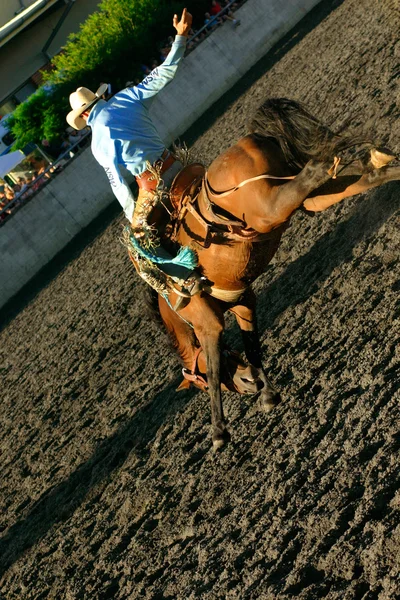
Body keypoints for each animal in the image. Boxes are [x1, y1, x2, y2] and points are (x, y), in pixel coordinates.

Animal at [141, 97, 400, 446]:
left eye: (199, 380)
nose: (246, 383)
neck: (172, 301)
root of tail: (251, 139)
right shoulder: (245, 303)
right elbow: (253, 346)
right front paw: (268, 394)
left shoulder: (207, 325)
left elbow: (214, 366)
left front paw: (219, 431)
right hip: (310, 200)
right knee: (365, 175)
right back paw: (381, 161)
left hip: (272, 207)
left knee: (317, 168)